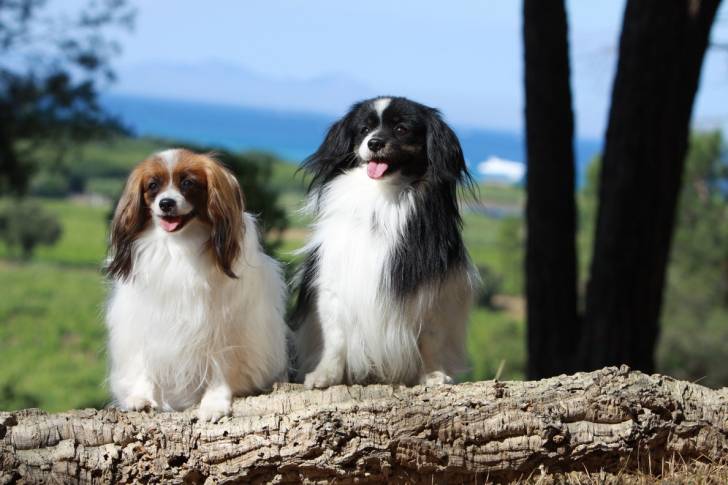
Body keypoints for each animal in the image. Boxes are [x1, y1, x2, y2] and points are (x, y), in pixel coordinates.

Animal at [105, 149, 288, 422]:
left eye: (188, 183)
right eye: (153, 186)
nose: (166, 203)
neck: (178, 245)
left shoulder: (223, 326)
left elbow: (220, 367)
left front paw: (214, 403)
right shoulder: (145, 320)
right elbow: (143, 360)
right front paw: (141, 396)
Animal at [292, 96, 478, 388]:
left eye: (401, 129)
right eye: (364, 130)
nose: (375, 143)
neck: (383, 196)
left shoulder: (435, 290)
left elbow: (432, 338)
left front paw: (434, 374)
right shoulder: (334, 282)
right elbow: (334, 337)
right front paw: (325, 375)